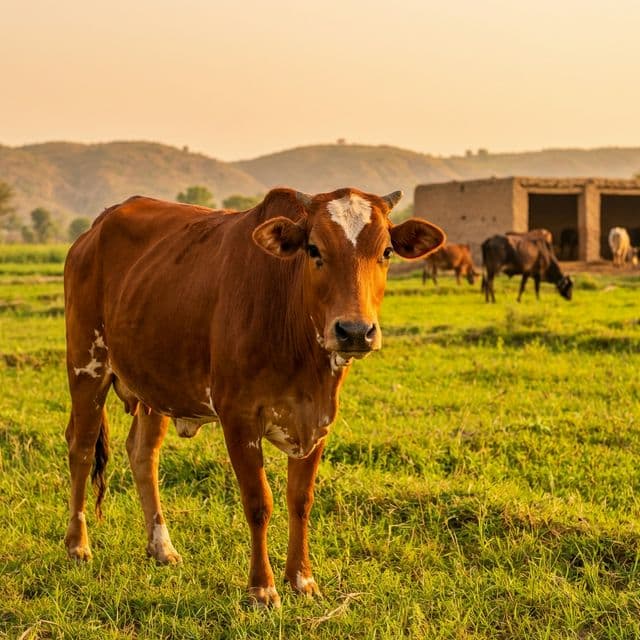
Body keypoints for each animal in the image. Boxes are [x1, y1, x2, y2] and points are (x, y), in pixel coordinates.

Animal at [62, 187, 445, 608]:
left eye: (386, 251)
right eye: (314, 249)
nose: (355, 331)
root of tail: (97, 226)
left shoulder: (318, 421)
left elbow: (301, 501)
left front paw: (302, 579)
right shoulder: (239, 419)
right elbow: (259, 502)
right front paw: (262, 587)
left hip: (154, 384)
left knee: (143, 454)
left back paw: (161, 547)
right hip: (86, 365)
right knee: (81, 448)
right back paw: (77, 544)